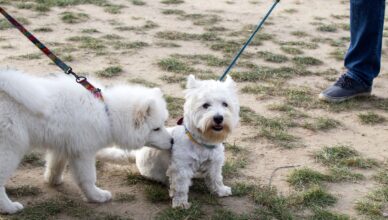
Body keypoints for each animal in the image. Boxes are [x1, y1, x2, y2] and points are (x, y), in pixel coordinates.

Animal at [0, 69, 173, 214]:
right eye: (156, 129)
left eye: (163, 124)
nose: (172, 141)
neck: (107, 113)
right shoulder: (83, 152)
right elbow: (88, 178)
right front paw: (96, 196)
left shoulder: (64, 146)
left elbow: (55, 166)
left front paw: (53, 181)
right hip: (9, 150)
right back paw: (9, 208)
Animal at [97, 75, 239, 209]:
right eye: (205, 105)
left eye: (225, 104)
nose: (218, 118)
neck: (201, 142)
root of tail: (137, 154)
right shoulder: (181, 168)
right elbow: (181, 188)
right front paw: (181, 204)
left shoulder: (214, 163)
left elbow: (216, 178)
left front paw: (221, 190)